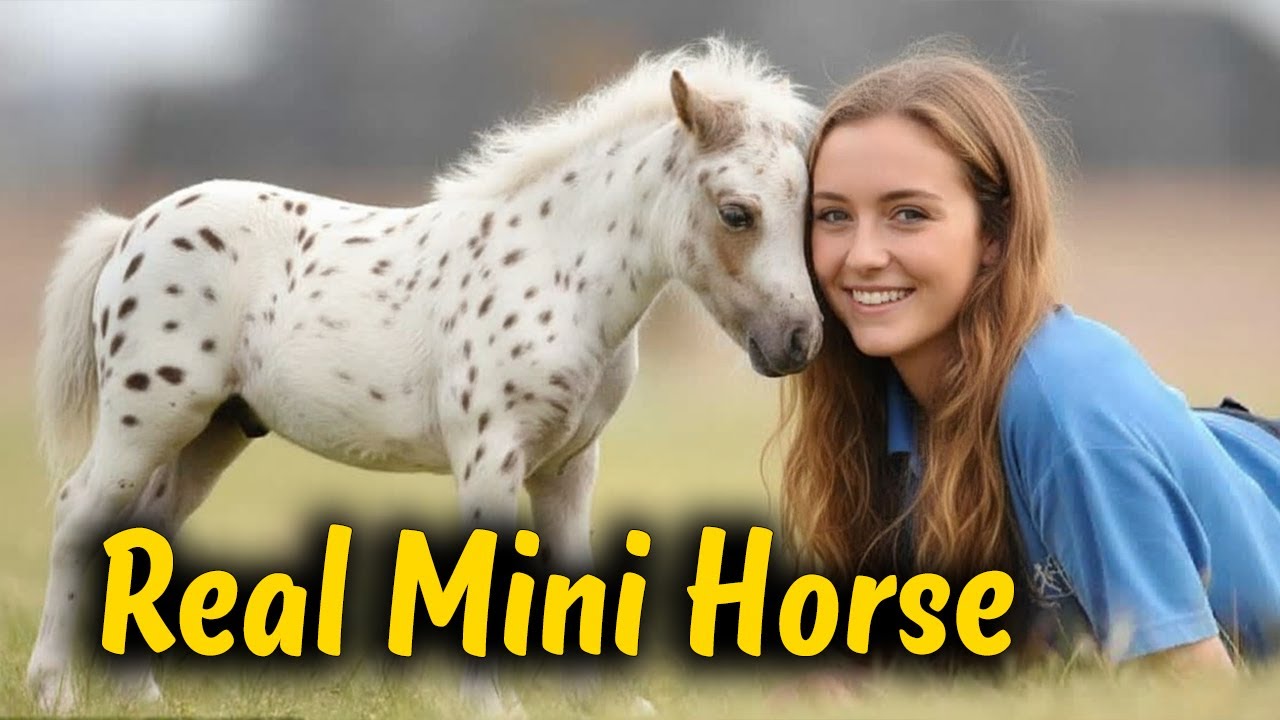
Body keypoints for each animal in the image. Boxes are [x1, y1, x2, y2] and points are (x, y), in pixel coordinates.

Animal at [27, 39, 822, 715]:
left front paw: (604, 704)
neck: (558, 275)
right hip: (150, 417)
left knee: (146, 532)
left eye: (813, 212)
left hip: (216, 432)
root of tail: (132, 230)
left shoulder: (568, 465)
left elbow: (576, 578)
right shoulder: (490, 455)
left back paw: (141, 695)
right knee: (78, 511)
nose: (799, 339)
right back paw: (54, 690)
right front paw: (492, 706)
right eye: (736, 213)